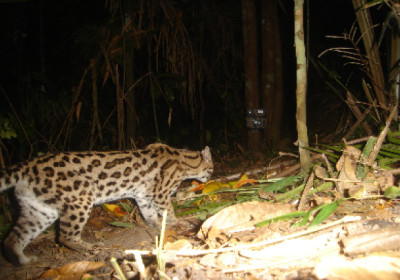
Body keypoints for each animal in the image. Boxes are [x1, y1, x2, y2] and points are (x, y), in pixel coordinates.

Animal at [0, 144, 212, 264]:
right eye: (211, 168)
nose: (211, 176)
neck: (183, 160)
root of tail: (28, 165)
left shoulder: (143, 196)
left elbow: (150, 214)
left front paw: (158, 225)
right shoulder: (159, 193)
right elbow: (168, 210)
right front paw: (176, 221)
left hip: (39, 210)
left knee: (13, 238)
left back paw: (23, 260)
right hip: (81, 198)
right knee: (65, 236)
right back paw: (91, 248)